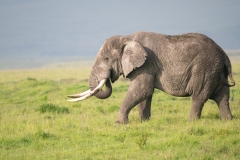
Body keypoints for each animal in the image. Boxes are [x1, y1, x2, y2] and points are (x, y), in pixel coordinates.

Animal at [67, 31, 234, 124]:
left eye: (107, 59)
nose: (109, 77)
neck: (128, 38)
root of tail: (224, 54)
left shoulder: (146, 65)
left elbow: (141, 91)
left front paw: (119, 124)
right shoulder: (145, 67)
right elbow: (145, 95)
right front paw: (144, 123)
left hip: (205, 69)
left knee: (199, 96)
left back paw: (191, 122)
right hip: (215, 71)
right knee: (222, 96)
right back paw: (228, 120)